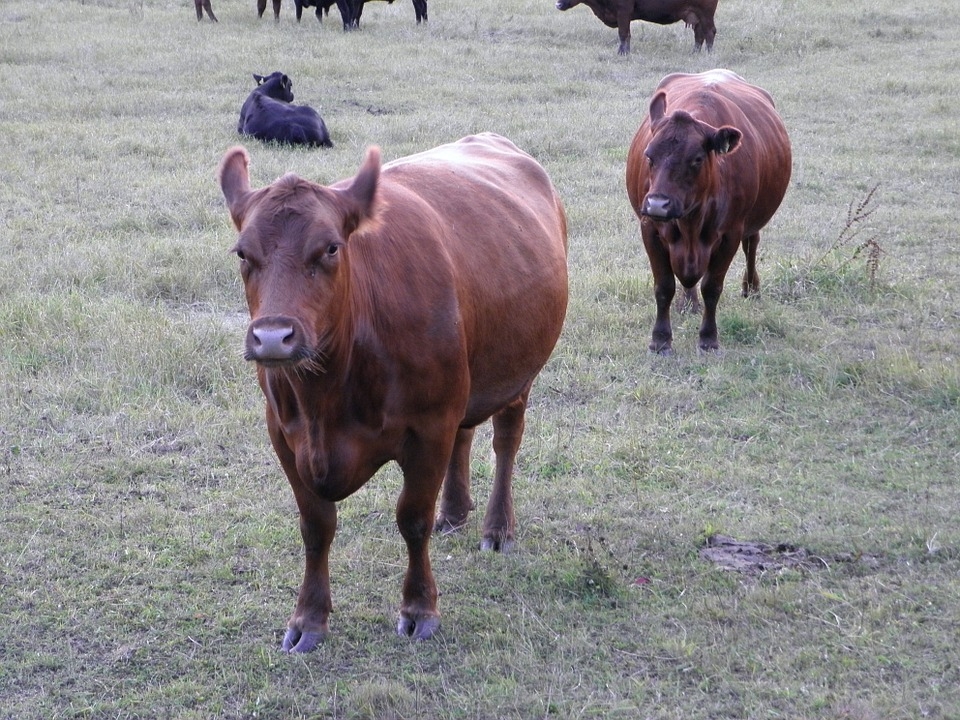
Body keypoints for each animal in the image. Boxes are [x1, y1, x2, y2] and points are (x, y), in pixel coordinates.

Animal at [221, 134, 568, 652]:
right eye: (243, 253)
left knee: (506, 440)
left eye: (331, 248)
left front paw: (419, 608)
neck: (327, 397)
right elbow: (316, 526)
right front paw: (308, 619)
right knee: (465, 435)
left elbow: (412, 519)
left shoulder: (428, 428)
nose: (272, 337)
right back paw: (455, 512)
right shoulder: (283, 434)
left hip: (518, 374)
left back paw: (497, 527)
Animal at [556, 0, 712, 55]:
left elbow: (623, 34)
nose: (557, 4)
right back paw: (695, 53)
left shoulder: (623, 11)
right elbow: (627, 35)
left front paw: (622, 53)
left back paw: (709, 53)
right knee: (699, 35)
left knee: (710, 32)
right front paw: (624, 52)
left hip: (706, 13)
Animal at [628, 69, 792, 356]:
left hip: (751, 224)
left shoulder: (730, 235)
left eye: (697, 159)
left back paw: (751, 289)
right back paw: (688, 303)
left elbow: (712, 287)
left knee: (752, 245)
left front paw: (708, 338)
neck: (691, 222)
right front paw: (660, 339)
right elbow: (664, 286)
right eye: (649, 156)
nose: (658, 204)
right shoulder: (650, 229)